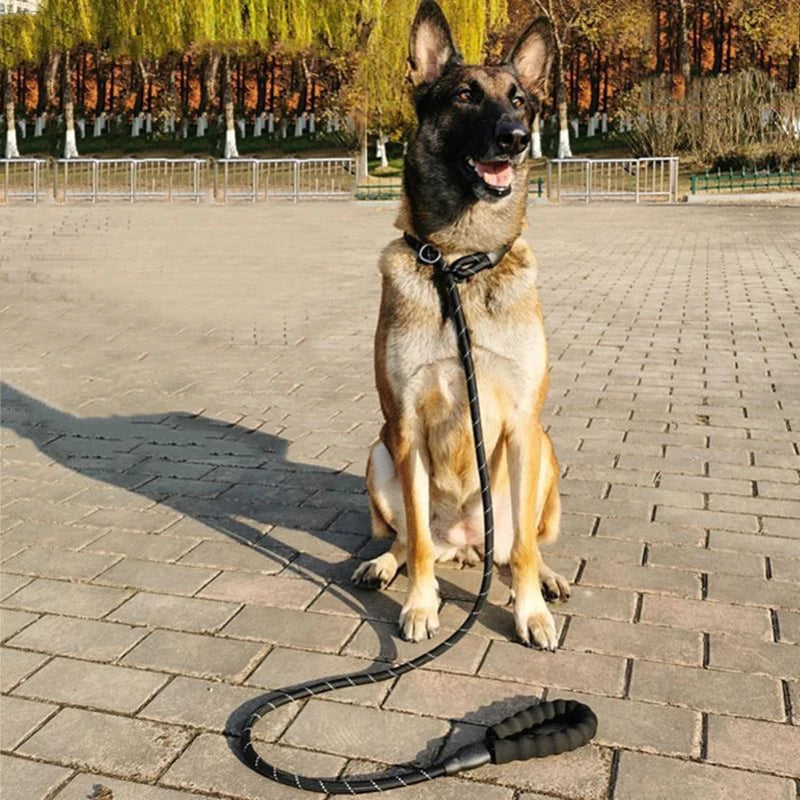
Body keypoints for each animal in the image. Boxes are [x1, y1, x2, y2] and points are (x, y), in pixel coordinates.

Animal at [352, 0, 568, 648]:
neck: (460, 263)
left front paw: (529, 613)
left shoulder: (522, 424)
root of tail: (467, 547)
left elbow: (521, 551)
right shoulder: (405, 426)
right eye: (466, 95)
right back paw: (383, 564)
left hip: (543, 454)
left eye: (520, 99)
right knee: (410, 538)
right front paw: (421, 605)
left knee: (520, 545)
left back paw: (544, 578)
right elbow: (419, 543)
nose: (516, 138)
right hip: (379, 455)